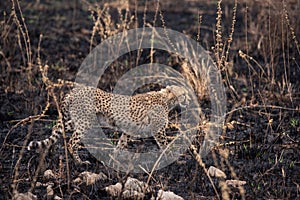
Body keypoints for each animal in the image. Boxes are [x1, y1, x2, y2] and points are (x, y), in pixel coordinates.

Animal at [27, 84, 188, 164]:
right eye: (184, 94)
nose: (189, 99)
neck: (166, 98)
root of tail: (74, 91)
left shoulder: (129, 129)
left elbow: (121, 143)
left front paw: (114, 159)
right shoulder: (158, 130)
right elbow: (166, 145)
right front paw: (172, 158)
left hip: (79, 120)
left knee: (57, 128)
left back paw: (50, 151)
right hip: (85, 122)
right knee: (72, 141)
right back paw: (79, 162)